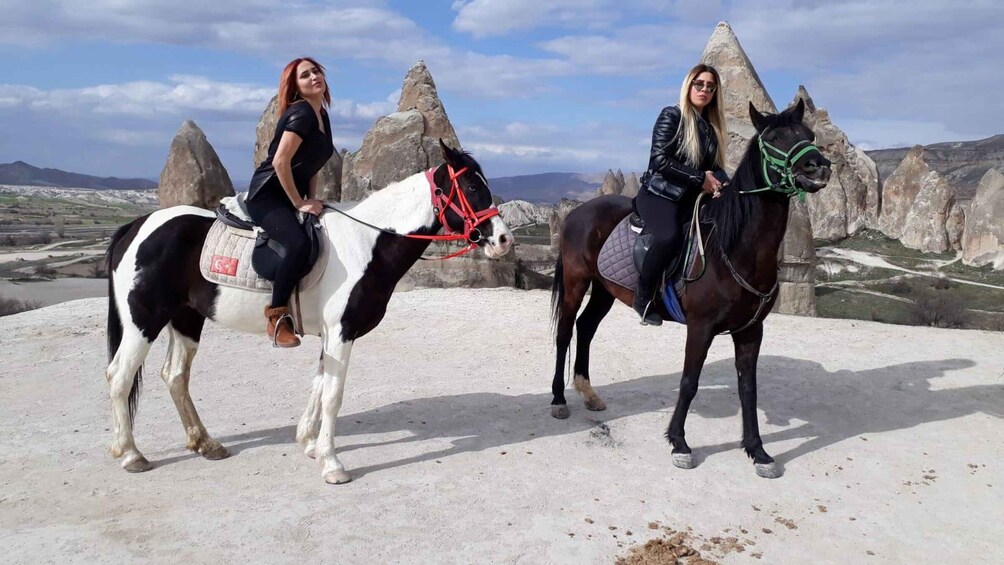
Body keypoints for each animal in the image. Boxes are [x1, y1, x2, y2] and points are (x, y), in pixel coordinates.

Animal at [105, 141, 514, 481]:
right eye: (473, 187)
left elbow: (319, 385)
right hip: (143, 321)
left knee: (174, 376)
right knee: (120, 376)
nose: (504, 240)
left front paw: (310, 443)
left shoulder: (332, 335)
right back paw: (131, 454)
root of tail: (136, 226)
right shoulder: (341, 332)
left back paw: (205, 444)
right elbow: (333, 394)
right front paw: (332, 464)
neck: (365, 243)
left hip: (186, 319)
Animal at [550, 100, 831, 477]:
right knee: (565, 330)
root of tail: (577, 212)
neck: (733, 248)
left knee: (586, 327)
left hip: (605, 289)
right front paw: (679, 443)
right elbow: (689, 382)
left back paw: (588, 393)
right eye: (773, 137)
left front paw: (758, 451)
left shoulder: (751, 331)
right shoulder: (701, 328)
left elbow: (748, 388)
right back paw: (559, 399)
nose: (819, 167)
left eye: (809, 135)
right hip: (576, 282)